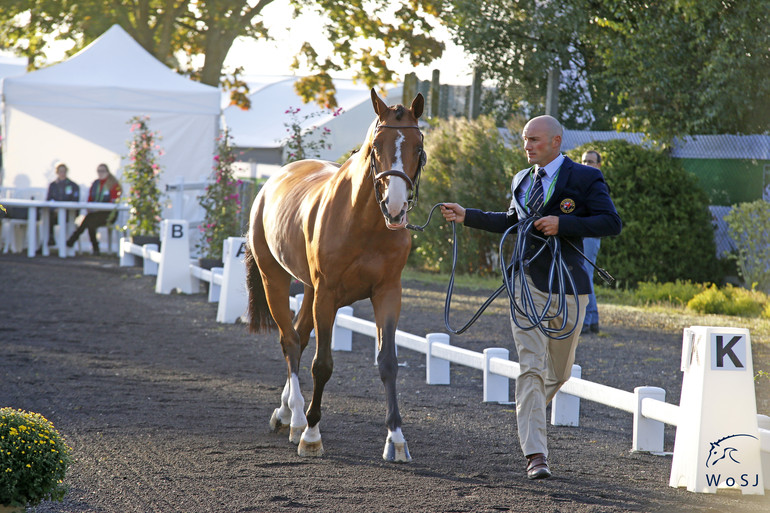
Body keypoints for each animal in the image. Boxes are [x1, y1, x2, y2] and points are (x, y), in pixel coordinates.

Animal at [244, 88, 424, 460]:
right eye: (376, 146)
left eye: (418, 147)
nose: (396, 208)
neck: (364, 222)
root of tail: (272, 182)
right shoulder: (327, 295)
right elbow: (322, 364)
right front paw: (312, 435)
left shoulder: (388, 293)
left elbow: (388, 363)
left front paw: (396, 439)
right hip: (276, 280)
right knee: (289, 340)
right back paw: (298, 418)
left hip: (310, 291)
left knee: (298, 337)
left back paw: (286, 413)